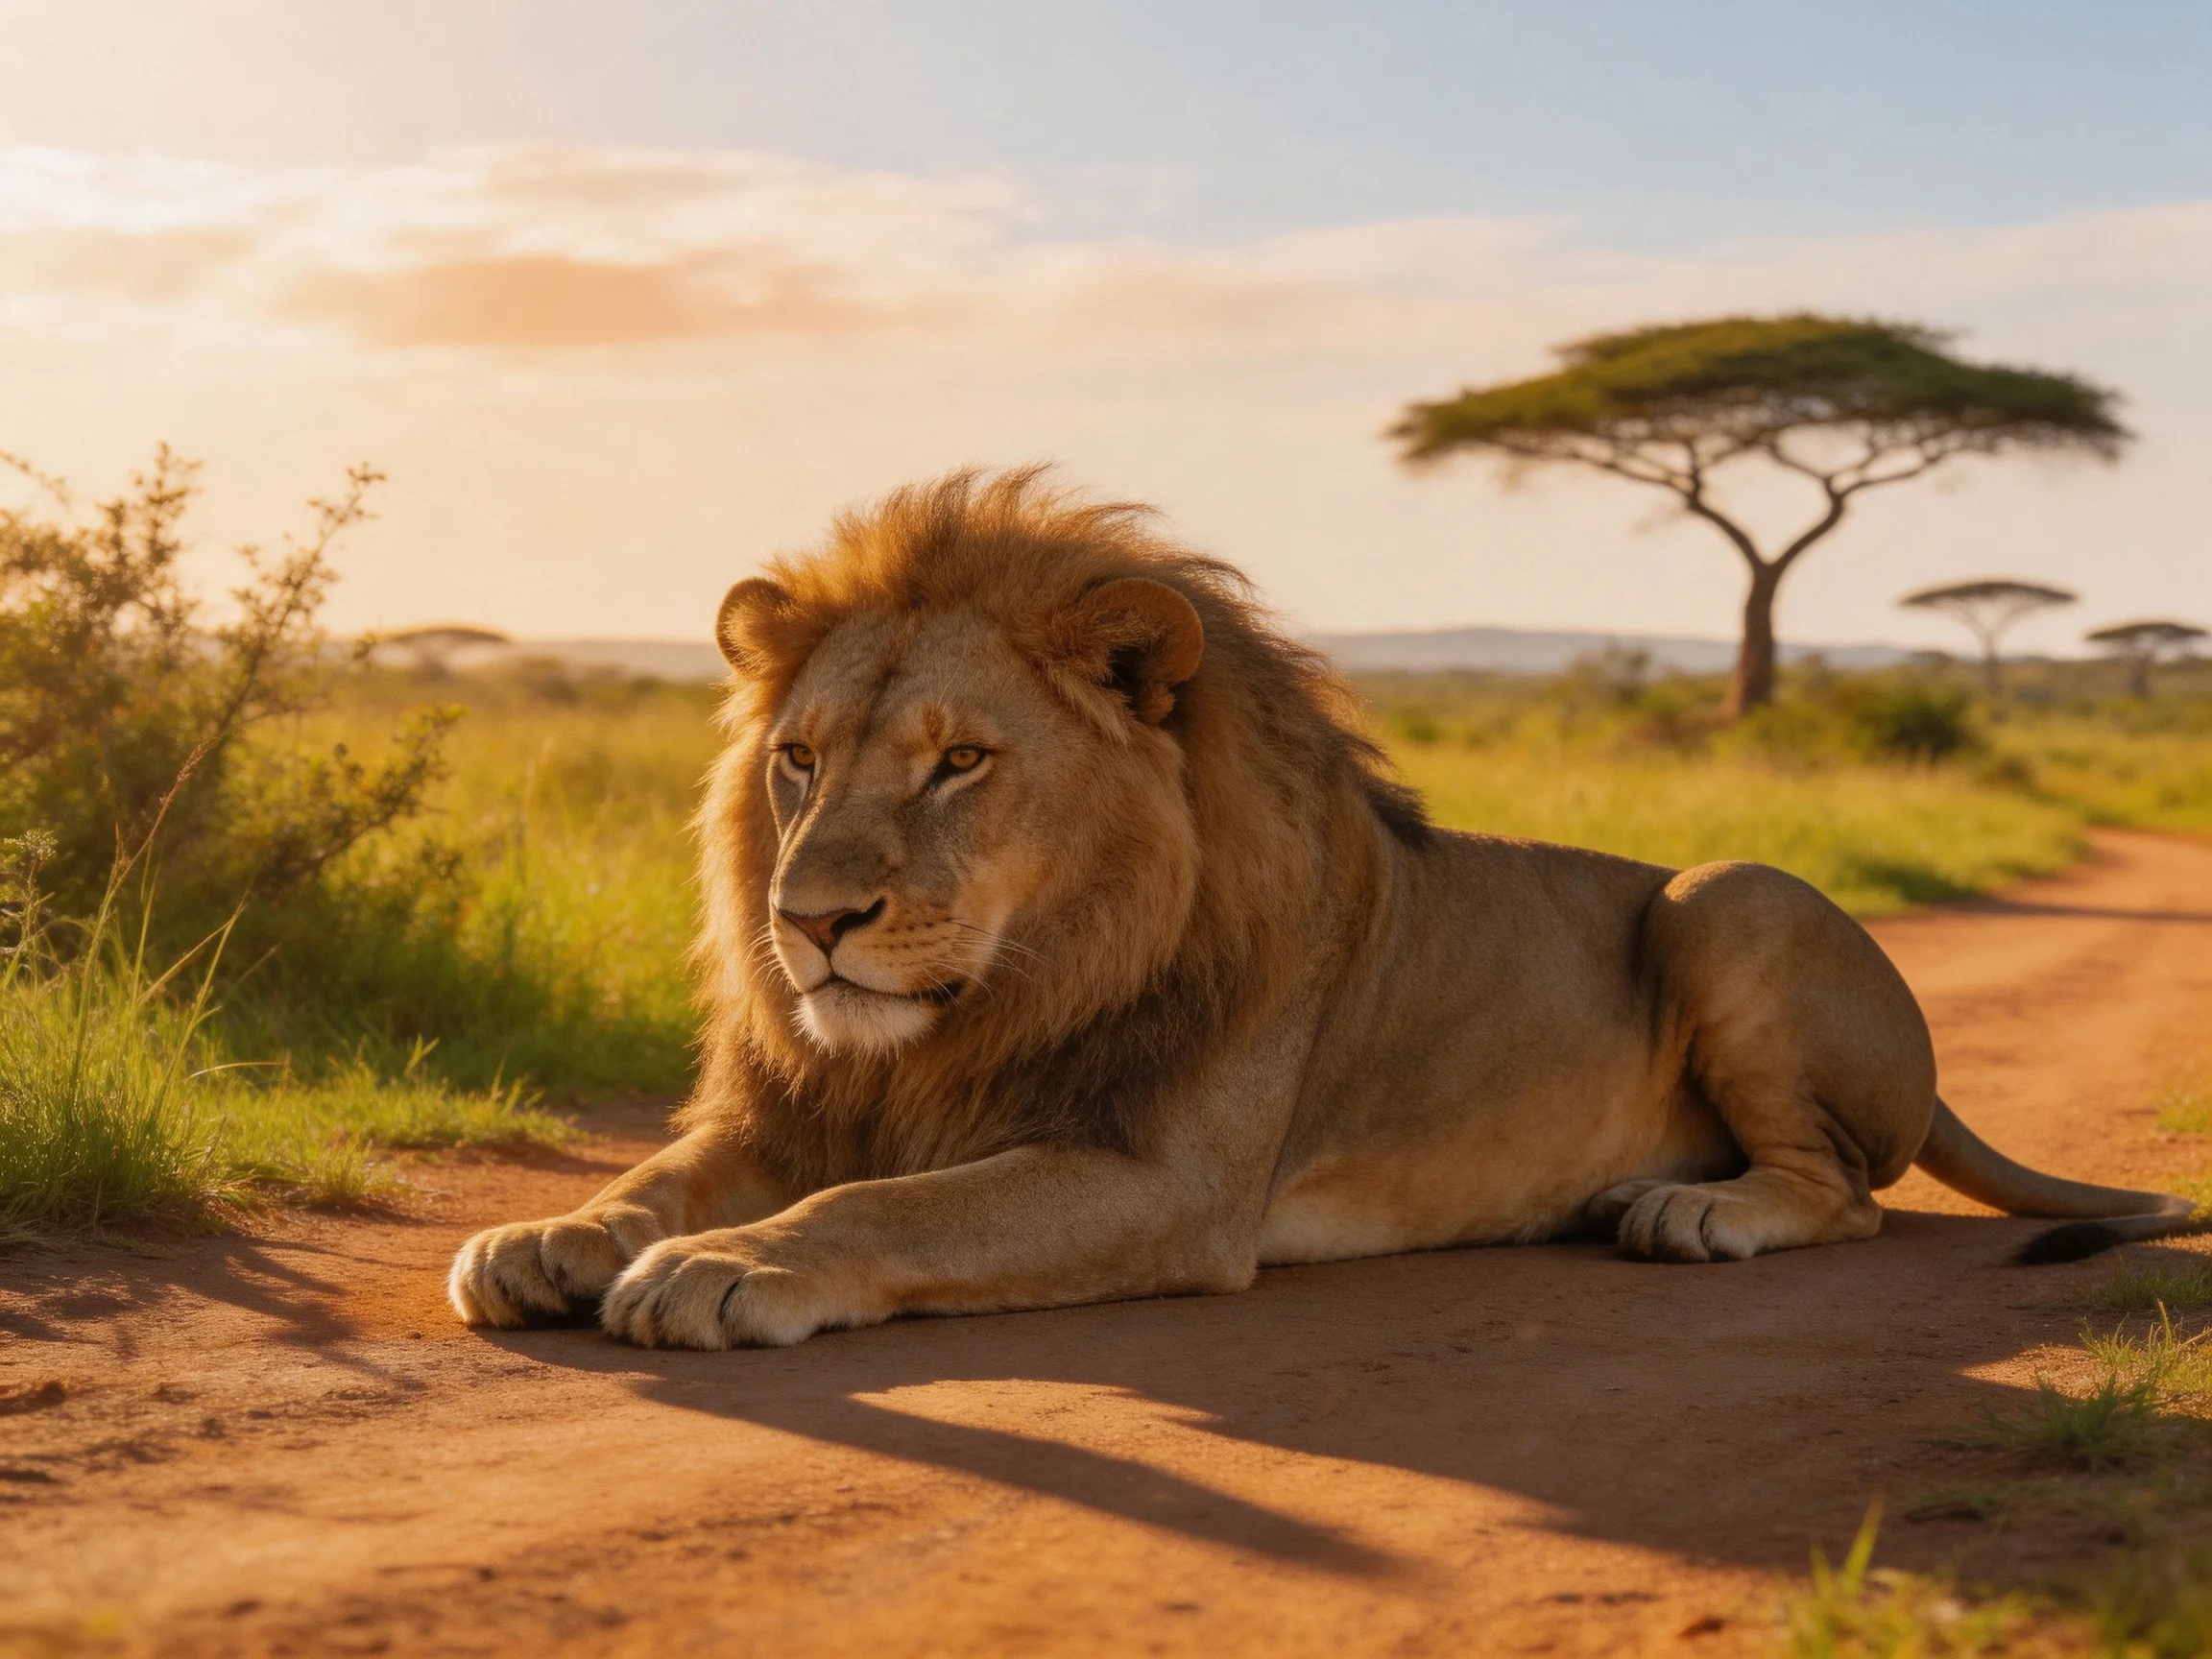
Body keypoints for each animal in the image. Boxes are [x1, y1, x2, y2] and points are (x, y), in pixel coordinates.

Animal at [449, 469, 2195, 1350]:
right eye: (799, 761)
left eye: (958, 761)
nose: (811, 920)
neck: (975, 1012)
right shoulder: (797, 1105)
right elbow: (655, 1174)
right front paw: (552, 1234)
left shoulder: (1166, 1182)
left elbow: (893, 1209)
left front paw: (716, 1269)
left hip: (1726, 895)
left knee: (1842, 1191)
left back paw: (1689, 1211)